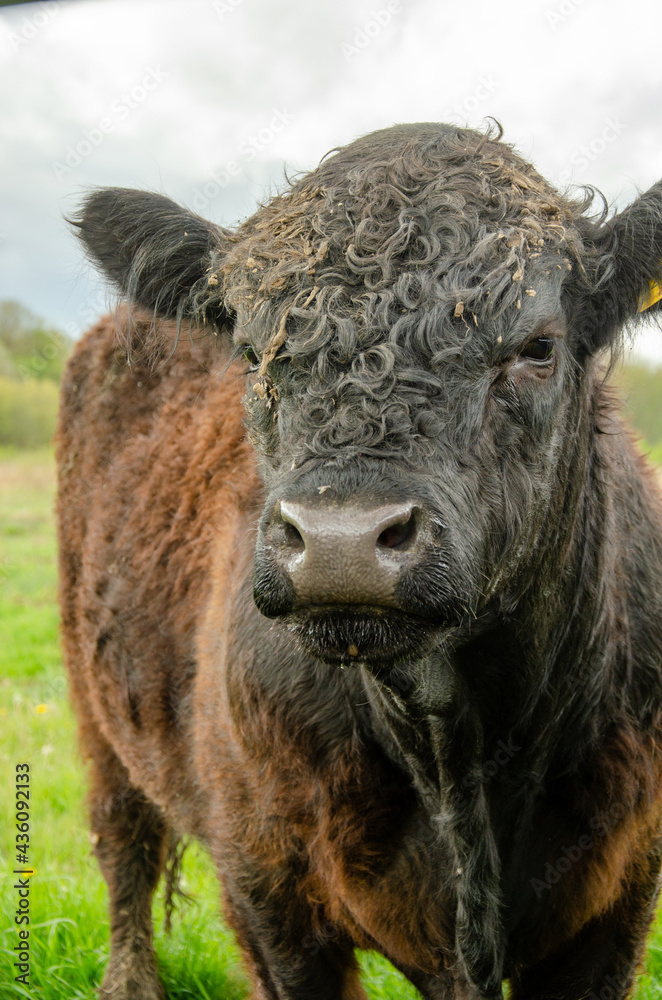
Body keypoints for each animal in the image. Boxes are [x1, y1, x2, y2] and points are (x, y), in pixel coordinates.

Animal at [55, 123, 662, 1000]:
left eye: (538, 346)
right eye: (251, 352)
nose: (340, 542)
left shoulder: (619, 897)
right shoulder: (266, 892)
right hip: (94, 698)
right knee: (124, 838)